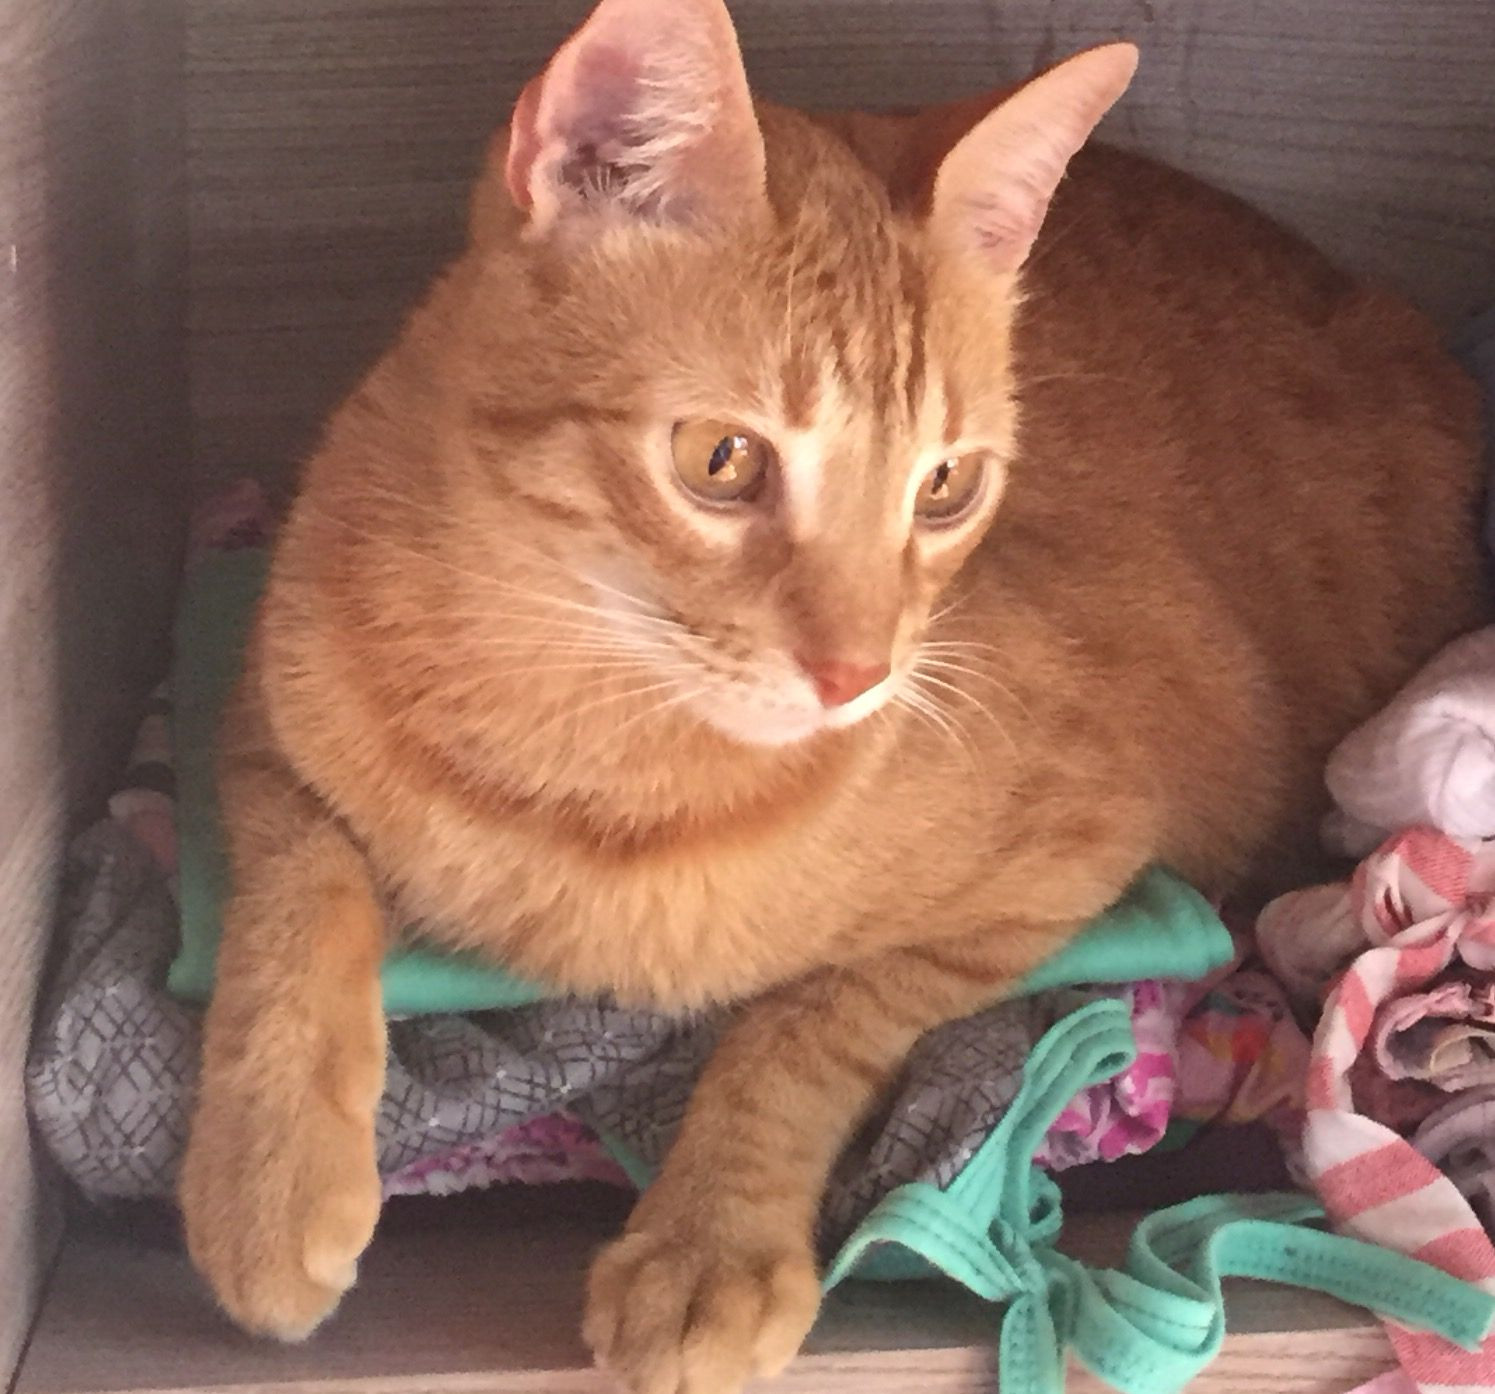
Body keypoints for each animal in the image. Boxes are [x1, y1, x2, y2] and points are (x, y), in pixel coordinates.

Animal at [179, 0, 1488, 1389]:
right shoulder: (259, 708)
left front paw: (708, 1243)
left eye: (946, 486)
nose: (859, 674)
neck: (584, 721)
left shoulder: (1075, 864)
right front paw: (267, 1181)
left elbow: (810, 1015)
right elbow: (293, 897)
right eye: (720, 460)